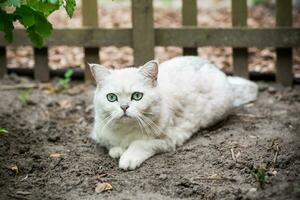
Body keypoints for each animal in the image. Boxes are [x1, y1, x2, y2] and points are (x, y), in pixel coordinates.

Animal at [88, 55, 258, 170]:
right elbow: (111, 145)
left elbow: (139, 144)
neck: (126, 131)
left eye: (137, 96)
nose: (124, 107)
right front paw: (117, 151)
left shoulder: (168, 139)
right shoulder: (99, 133)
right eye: (111, 97)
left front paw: (127, 158)